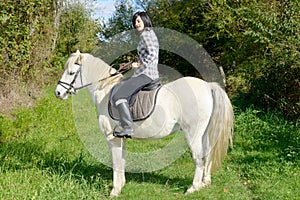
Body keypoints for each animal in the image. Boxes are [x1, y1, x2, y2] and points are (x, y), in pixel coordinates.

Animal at [54, 50, 233, 196]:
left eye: (71, 72)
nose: (58, 93)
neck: (105, 91)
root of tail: (207, 86)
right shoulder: (121, 138)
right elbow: (122, 160)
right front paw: (121, 186)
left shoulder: (112, 138)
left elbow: (116, 161)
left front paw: (115, 190)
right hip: (204, 133)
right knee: (207, 153)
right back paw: (205, 182)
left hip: (193, 133)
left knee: (198, 157)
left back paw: (194, 187)